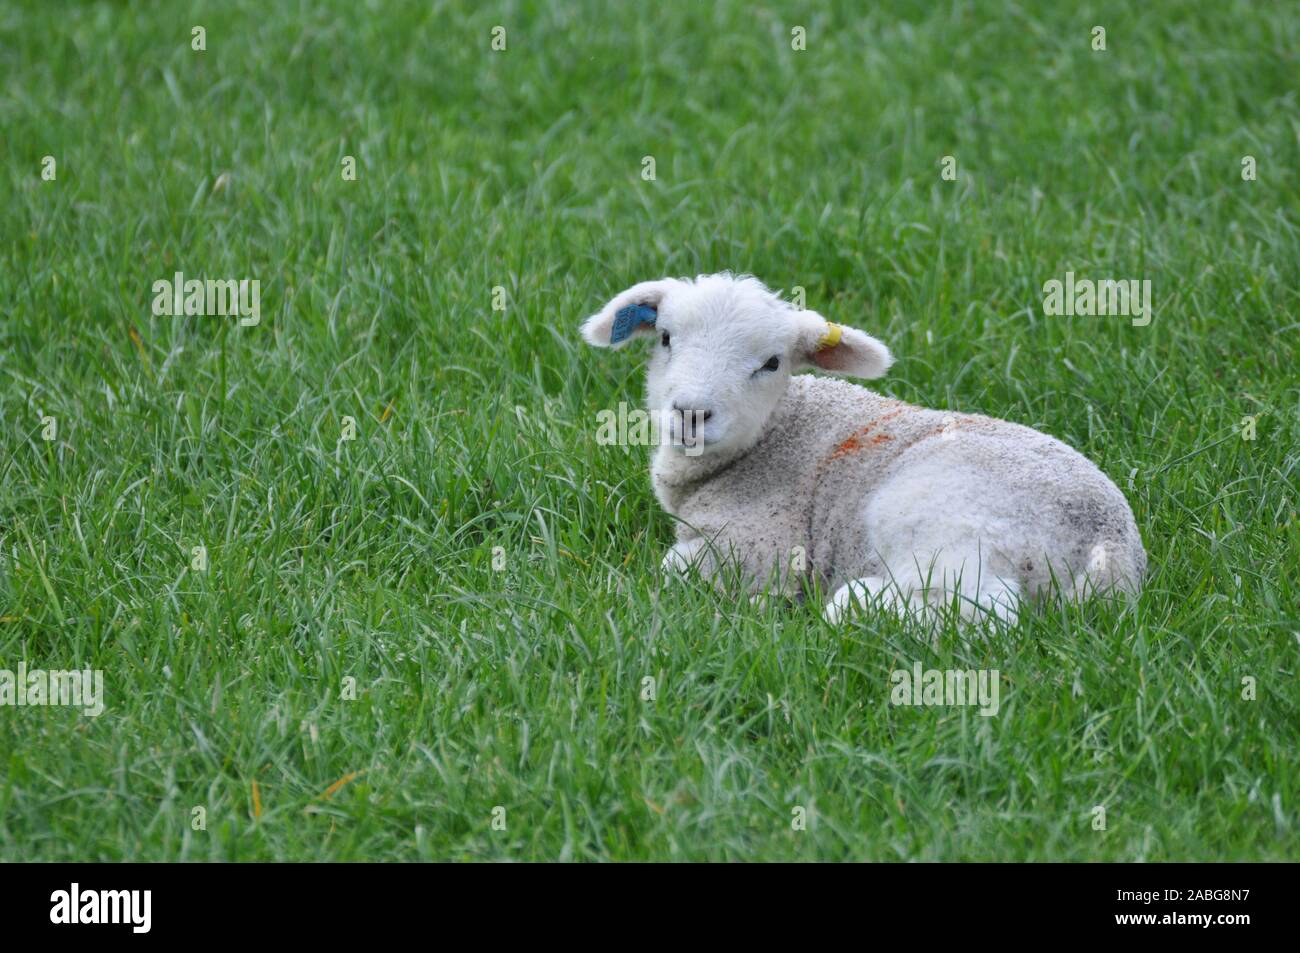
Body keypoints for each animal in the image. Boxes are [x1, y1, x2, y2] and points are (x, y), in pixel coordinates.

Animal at [582, 271, 1149, 624]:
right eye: (665, 338)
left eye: (771, 363)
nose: (692, 413)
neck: (771, 437)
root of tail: (1111, 548)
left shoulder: (760, 544)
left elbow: (673, 569)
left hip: (944, 517)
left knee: (988, 609)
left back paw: (854, 603)